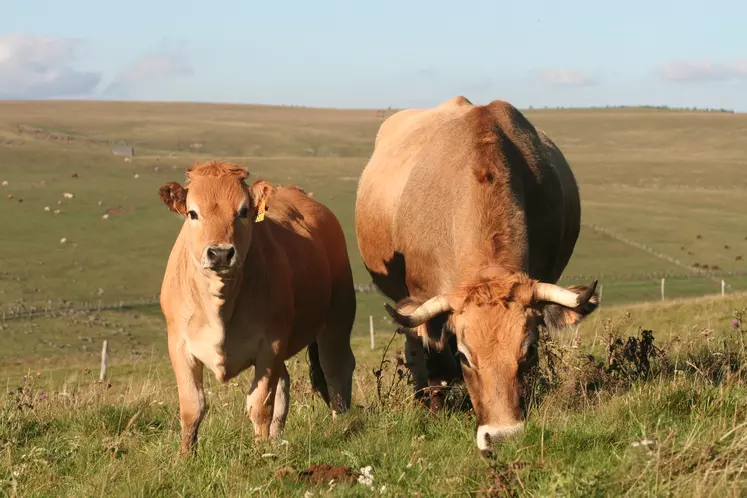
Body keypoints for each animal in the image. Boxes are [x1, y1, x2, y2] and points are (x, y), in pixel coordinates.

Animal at [158, 161, 356, 454]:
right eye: (193, 213)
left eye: (243, 212)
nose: (220, 253)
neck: (220, 305)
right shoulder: (179, 345)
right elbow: (192, 408)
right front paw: (185, 456)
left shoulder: (270, 345)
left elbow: (260, 405)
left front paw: (261, 452)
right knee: (286, 381)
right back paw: (276, 438)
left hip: (338, 315)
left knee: (336, 368)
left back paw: (340, 424)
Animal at [356, 96, 600, 456]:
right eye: (464, 355)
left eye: (529, 351)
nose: (502, 437)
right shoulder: (424, 302)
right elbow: (433, 358)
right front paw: (435, 410)